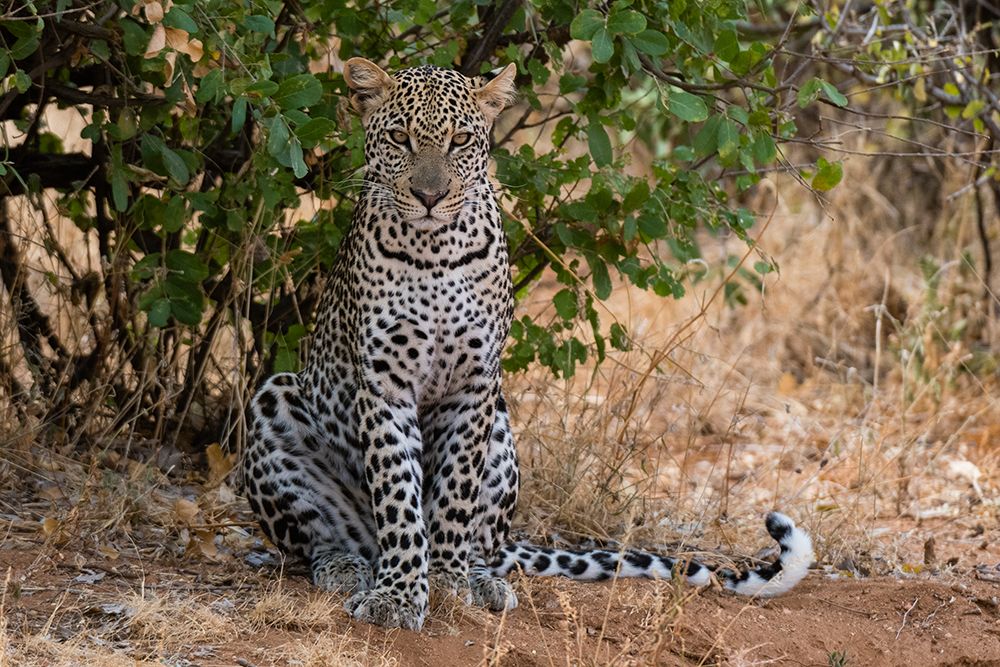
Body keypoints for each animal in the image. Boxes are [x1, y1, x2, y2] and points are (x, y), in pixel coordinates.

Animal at [242, 57, 814, 632]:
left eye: (459, 140)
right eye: (400, 138)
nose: (430, 197)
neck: (433, 250)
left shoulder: (474, 385)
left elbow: (454, 492)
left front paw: (445, 580)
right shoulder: (385, 384)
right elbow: (400, 498)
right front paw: (400, 594)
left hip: (500, 430)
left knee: (486, 544)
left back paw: (480, 578)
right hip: (274, 398)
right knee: (320, 542)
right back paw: (348, 566)